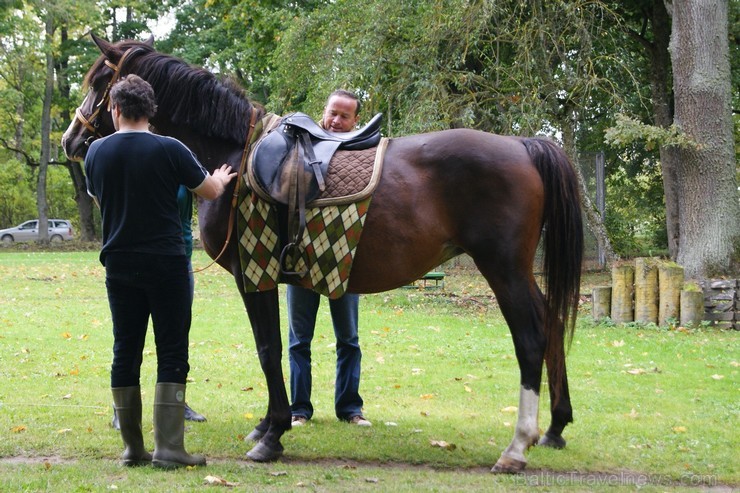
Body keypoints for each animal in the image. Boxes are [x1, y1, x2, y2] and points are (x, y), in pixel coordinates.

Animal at [63, 34, 584, 472]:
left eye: (100, 82)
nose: (71, 139)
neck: (234, 152)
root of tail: (523, 145)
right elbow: (275, 350)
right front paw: (266, 425)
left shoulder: (255, 272)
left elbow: (269, 349)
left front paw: (272, 435)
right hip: (516, 270)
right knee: (553, 322)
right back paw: (555, 427)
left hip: (504, 268)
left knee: (531, 337)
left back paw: (517, 446)